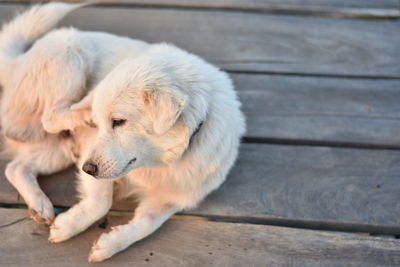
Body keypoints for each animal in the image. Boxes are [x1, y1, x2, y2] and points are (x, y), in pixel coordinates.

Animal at [0, 2, 245, 264]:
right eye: (103, 124)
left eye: (118, 121)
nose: (87, 168)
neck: (161, 163)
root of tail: (16, 62)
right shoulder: (93, 156)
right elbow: (101, 202)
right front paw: (68, 226)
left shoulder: (169, 199)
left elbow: (147, 225)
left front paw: (109, 245)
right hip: (71, 50)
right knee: (50, 116)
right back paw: (79, 118)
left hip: (57, 152)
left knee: (16, 168)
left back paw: (40, 206)